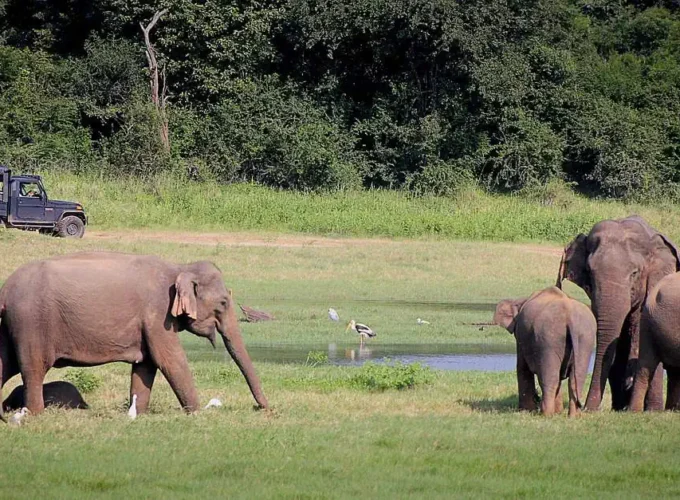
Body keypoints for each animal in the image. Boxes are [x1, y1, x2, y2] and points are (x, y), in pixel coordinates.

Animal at [0, 250, 268, 418]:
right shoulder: (158, 314)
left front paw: (139, 414)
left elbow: (146, 364)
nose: (264, 408)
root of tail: (5, 290)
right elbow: (169, 360)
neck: (180, 267)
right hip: (31, 322)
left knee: (5, 364)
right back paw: (35, 414)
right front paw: (197, 413)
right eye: (223, 302)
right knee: (33, 367)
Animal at [494, 288, 596, 416]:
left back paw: (546, 414)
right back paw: (573, 416)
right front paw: (558, 412)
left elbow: (522, 367)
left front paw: (526, 410)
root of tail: (570, 317)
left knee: (550, 377)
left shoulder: (521, 335)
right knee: (575, 378)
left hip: (548, 338)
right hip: (585, 338)